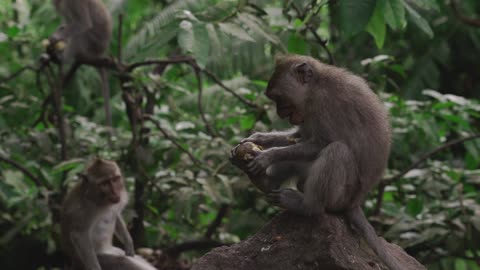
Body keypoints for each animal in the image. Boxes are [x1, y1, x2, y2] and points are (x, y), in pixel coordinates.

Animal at [50, 0, 114, 131]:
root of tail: (100, 53)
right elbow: (68, 23)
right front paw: (59, 33)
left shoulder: (74, 3)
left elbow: (83, 24)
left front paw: (56, 37)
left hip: (91, 44)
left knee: (79, 35)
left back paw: (63, 59)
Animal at [231, 54, 404, 270]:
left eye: (279, 98)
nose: (280, 113)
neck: (316, 86)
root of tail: (355, 203)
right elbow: (298, 137)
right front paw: (259, 138)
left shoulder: (324, 103)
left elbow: (321, 143)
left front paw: (267, 156)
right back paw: (265, 182)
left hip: (341, 196)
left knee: (337, 151)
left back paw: (306, 206)